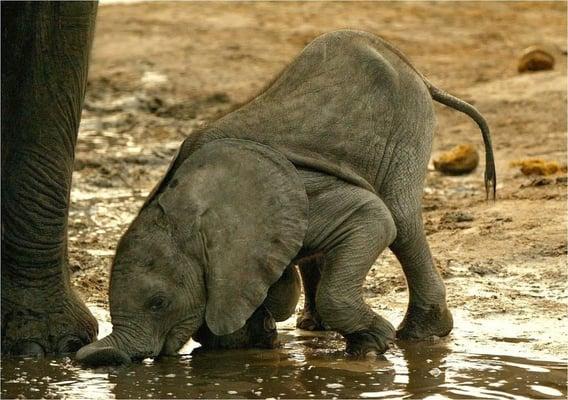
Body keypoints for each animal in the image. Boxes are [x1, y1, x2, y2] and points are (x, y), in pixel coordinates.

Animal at [75, 28, 492, 366]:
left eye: (158, 303)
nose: (81, 355)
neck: (185, 204)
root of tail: (413, 68)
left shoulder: (305, 191)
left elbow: (373, 217)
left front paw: (372, 346)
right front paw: (255, 339)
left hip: (406, 128)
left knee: (401, 220)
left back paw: (420, 335)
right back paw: (313, 326)